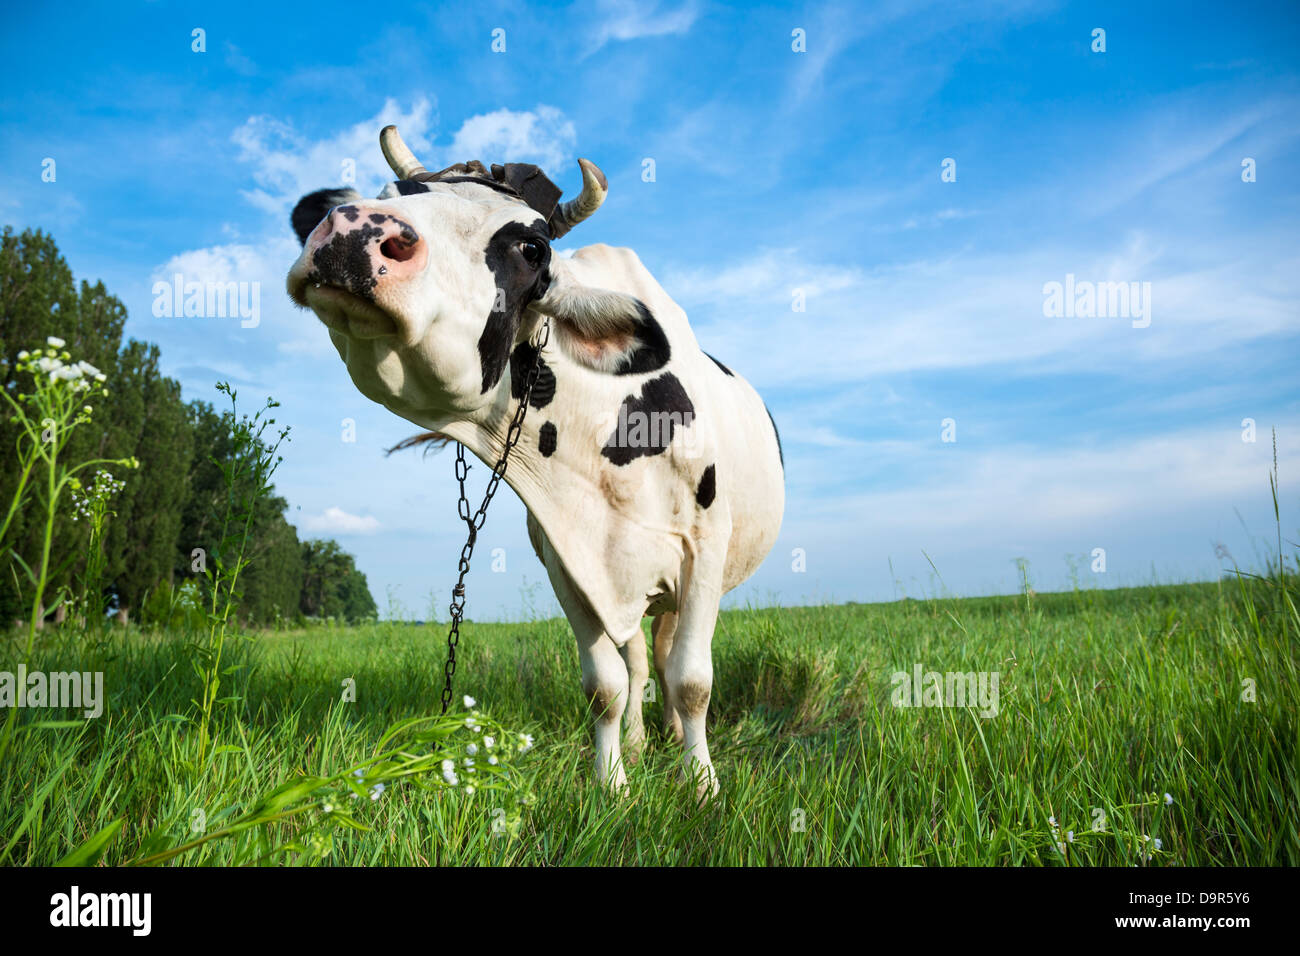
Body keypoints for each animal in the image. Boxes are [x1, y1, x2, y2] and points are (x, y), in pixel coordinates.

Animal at [284, 127, 780, 801]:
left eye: (531, 246)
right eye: (389, 193)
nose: (352, 229)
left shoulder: (703, 548)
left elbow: (693, 680)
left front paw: (701, 784)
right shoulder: (570, 558)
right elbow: (605, 684)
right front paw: (613, 781)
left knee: (668, 654)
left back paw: (676, 739)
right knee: (640, 659)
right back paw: (640, 740)